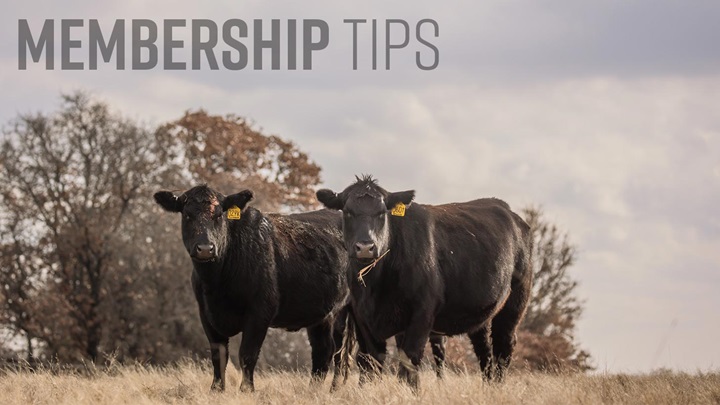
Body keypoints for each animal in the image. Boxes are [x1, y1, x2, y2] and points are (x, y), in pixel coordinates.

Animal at [154, 185, 350, 392]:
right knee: (323, 351)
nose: (205, 248)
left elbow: (247, 354)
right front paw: (216, 389)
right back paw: (313, 390)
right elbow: (218, 355)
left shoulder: (260, 312)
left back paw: (334, 389)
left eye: (219, 215)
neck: (216, 283)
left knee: (336, 351)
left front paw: (246, 390)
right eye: (187, 215)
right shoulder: (206, 314)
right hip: (319, 315)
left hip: (341, 311)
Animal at [318, 175, 533, 391]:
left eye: (382, 212)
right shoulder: (362, 317)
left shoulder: (422, 313)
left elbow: (410, 359)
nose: (365, 247)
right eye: (347, 211)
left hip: (515, 303)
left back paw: (499, 386)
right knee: (484, 350)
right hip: (482, 313)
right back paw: (488, 388)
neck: (375, 285)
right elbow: (371, 362)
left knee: (503, 345)